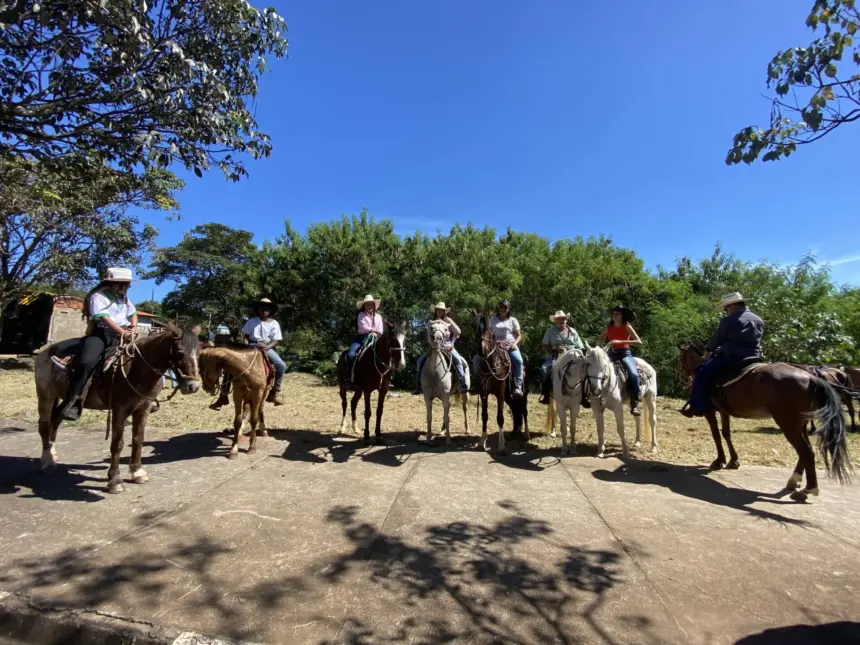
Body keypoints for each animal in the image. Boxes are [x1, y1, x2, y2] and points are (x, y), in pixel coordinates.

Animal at [35, 328, 202, 494]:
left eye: (198, 353)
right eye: (179, 352)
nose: (193, 387)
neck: (136, 368)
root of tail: (46, 351)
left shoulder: (143, 409)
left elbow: (138, 439)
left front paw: (137, 472)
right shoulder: (119, 411)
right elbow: (117, 444)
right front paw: (115, 481)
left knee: (56, 419)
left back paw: (52, 453)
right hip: (46, 395)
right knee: (44, 426)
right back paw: (47, 461)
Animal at [336, 318, 406, 448]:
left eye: (404, 339)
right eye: (392, 340)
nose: (401, 364)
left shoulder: (383, 391)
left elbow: (379, 411)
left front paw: (378, 435)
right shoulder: (367, 390)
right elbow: (368, 412)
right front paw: (367, 437)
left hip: (358, 390)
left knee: (353, 403)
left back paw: (355, 428)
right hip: (343, 387)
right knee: (345, 403)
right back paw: (343, 427)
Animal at [680, 344, 852, 500]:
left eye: (681, 359)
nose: (684, 377)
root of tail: (811, 378)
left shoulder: (710, 412)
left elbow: (716, 434)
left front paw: (719, 461)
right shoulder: (724, 412)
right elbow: (726, 434)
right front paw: (733, 461)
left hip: (788, 425)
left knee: (806, 452)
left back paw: (808, 489)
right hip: (800, 425)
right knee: (806, 451)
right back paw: (794, 481)